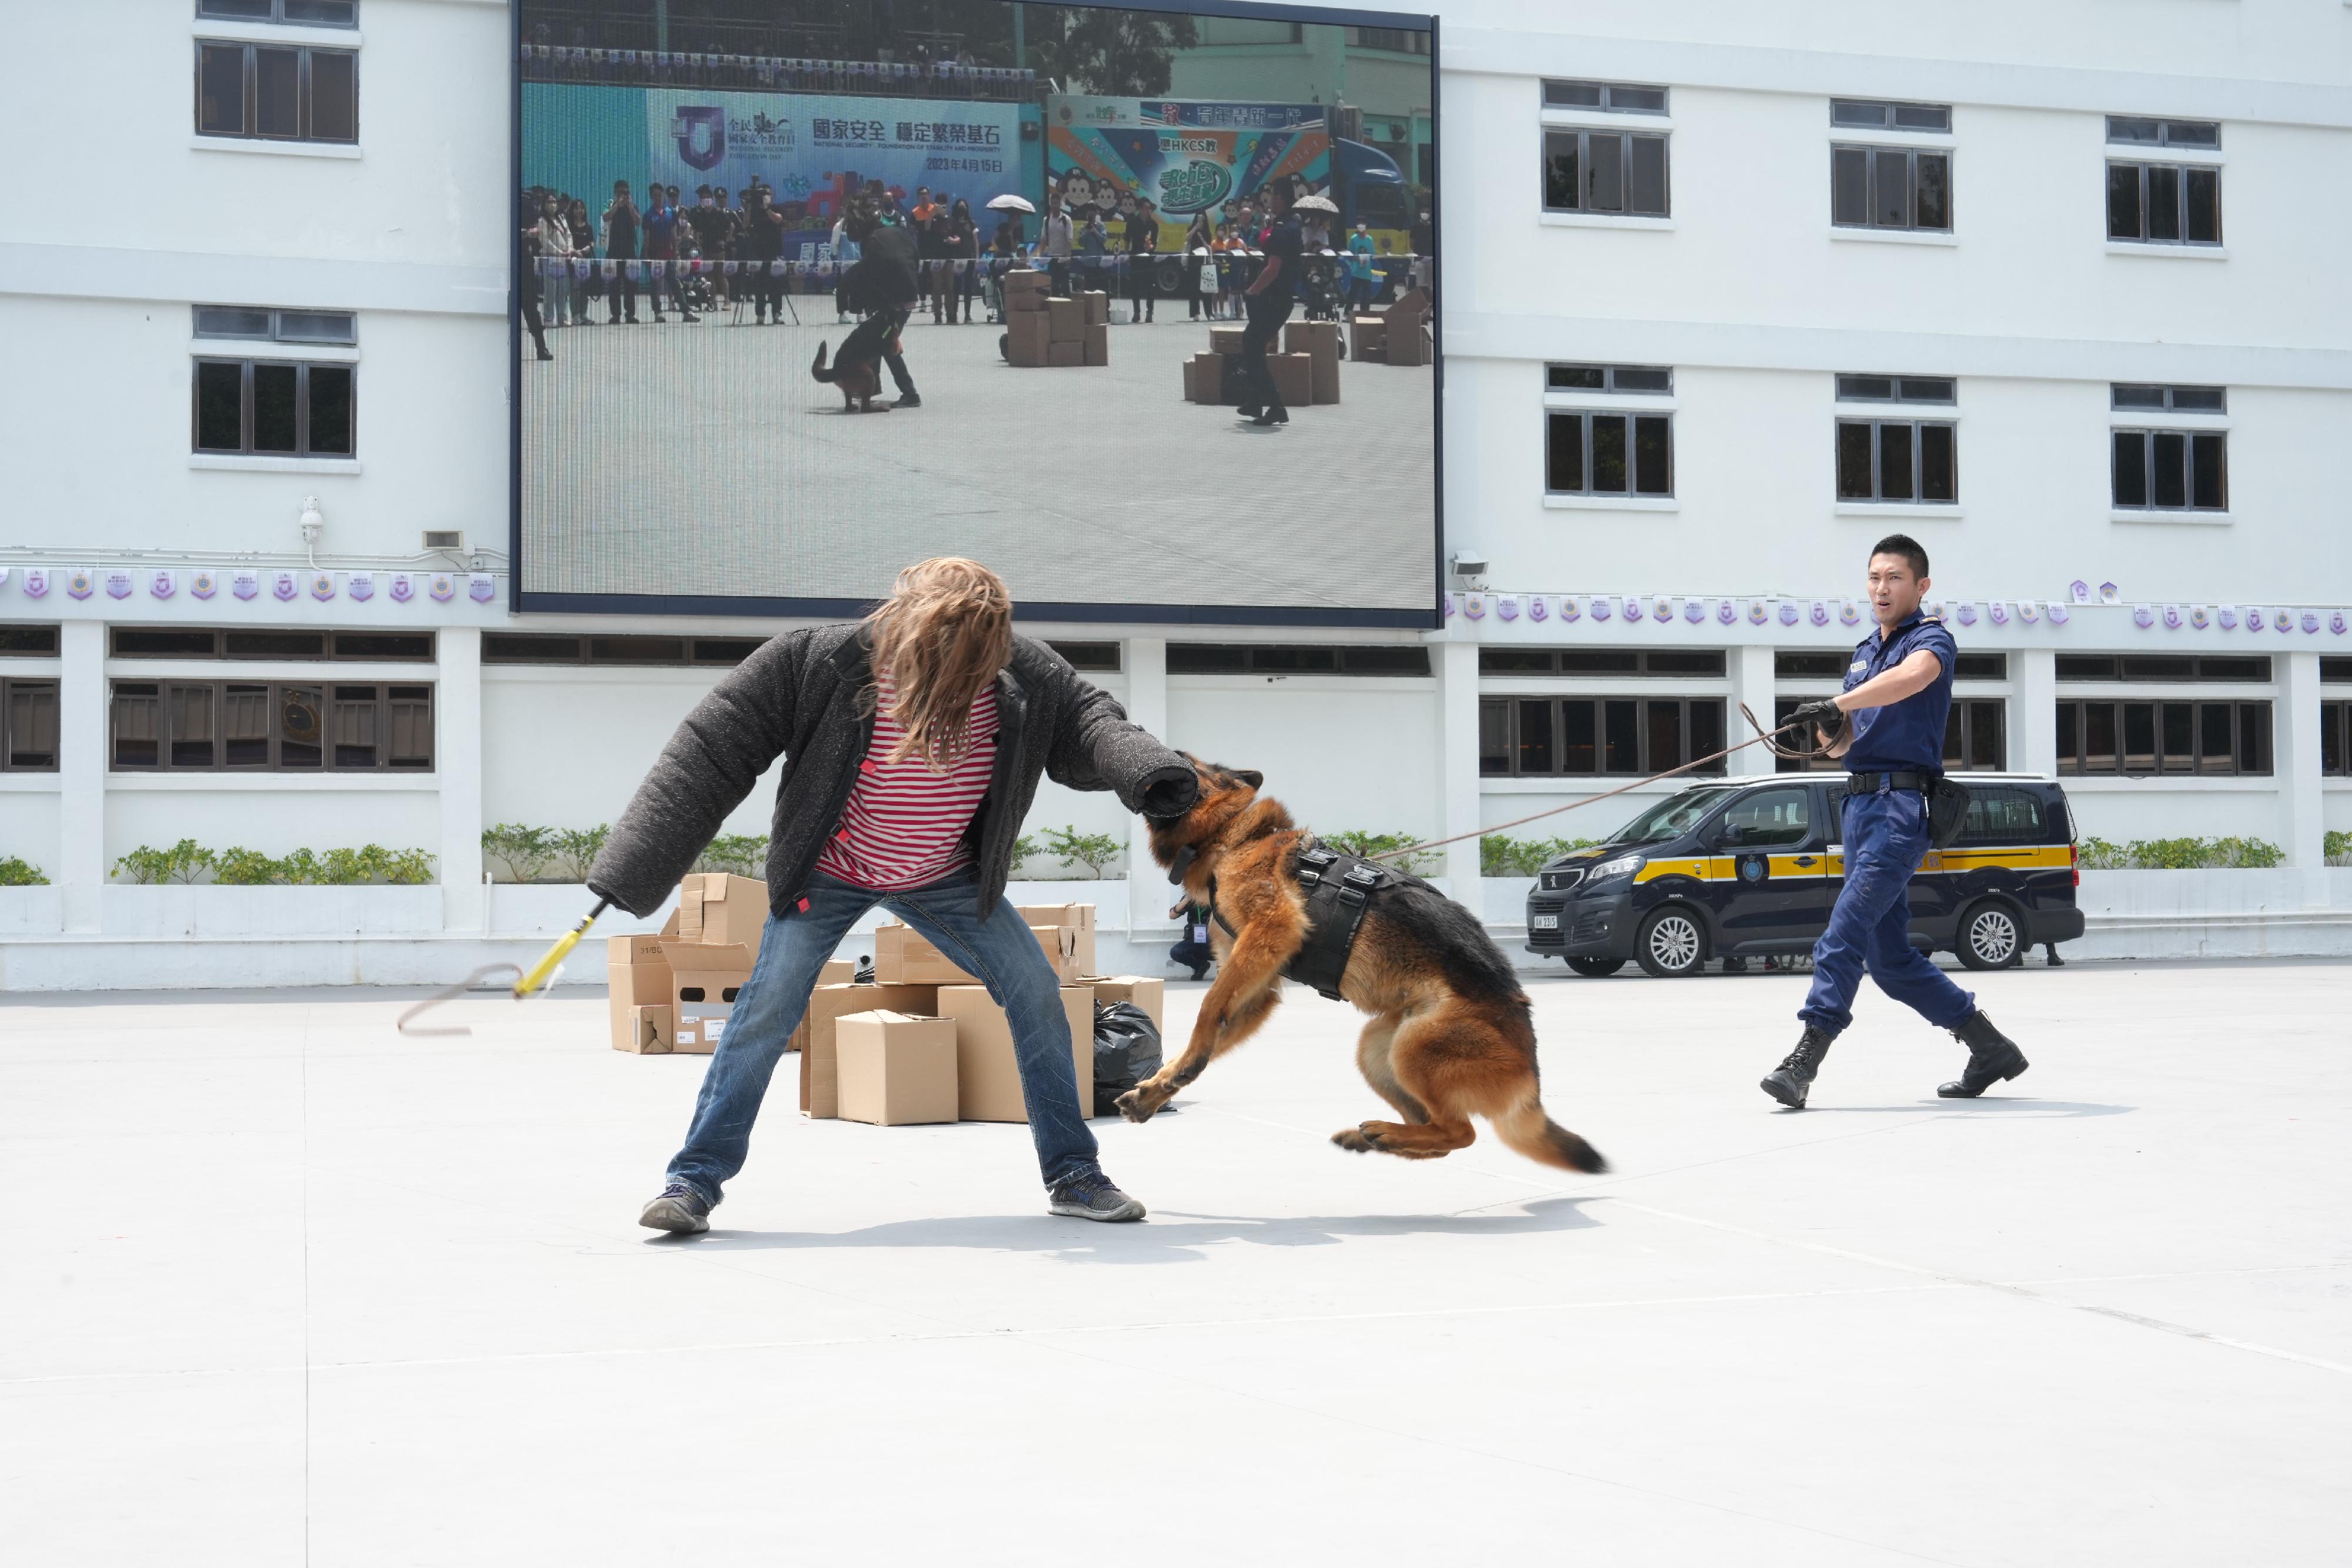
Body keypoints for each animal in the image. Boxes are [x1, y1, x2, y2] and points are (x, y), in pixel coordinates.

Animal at [823, 310, 903, 411]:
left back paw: (851, 407)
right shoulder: (889, 346)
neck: (879, 319)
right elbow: (894, 344)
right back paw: (876, 408)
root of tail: (836, 370)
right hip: (868, 375)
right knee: (865, 407)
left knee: (848, 400)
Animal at [1124, 761, 1609, 1175]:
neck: (1235, 834)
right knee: (1440, 1133)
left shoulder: (1270, 932)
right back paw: (1379, 1138)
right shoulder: (1259, 984)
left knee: (1461, 1131)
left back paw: (1384, 1134)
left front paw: (1184, 1064)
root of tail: (1531, 1080)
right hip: (1378, 1047)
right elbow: (1217, 1020)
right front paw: (1160, 1086)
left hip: (1415, 1044)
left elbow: (1208, 1006)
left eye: (1182, 759)